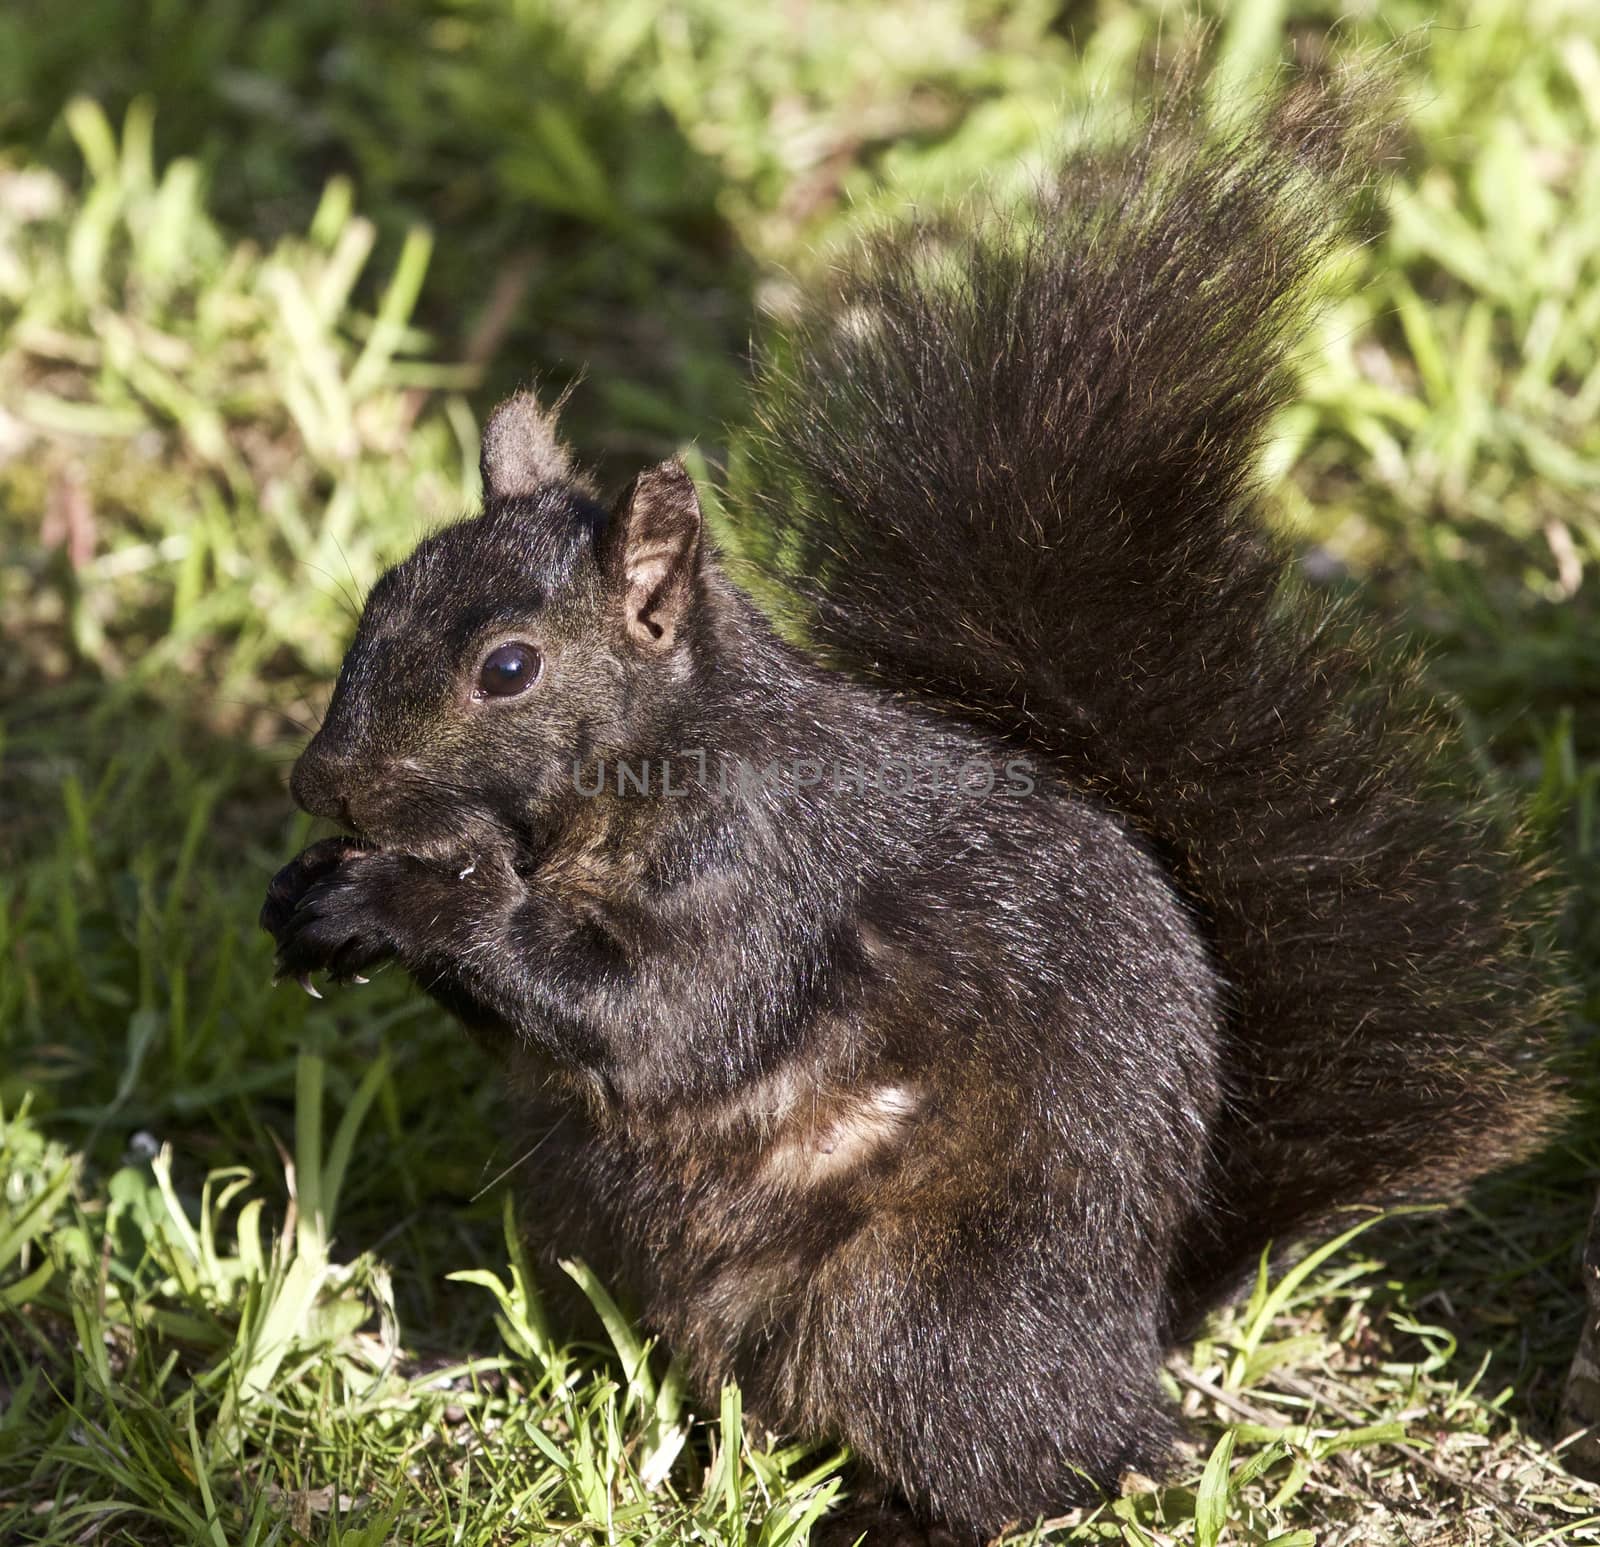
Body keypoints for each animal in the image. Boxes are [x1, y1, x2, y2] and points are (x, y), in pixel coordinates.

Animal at [259, 78, 1561, 1542]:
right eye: (378, 594)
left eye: (508, 668)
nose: (321, 783)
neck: (648, 762)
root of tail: (1131, 1339)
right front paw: (314, 895)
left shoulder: (759, 877)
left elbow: (660, 1016)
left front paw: (404, 891)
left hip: (913, 1305)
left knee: (1026, 1471)